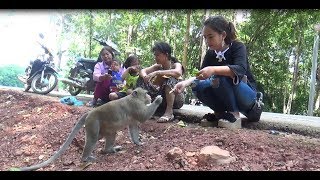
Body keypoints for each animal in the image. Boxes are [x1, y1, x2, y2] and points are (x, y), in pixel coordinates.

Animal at [15, 87, 162, 172]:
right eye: (146, 93)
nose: (150, 97)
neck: (134, 97)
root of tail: (90, 113)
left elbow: (133, 127)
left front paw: (138, 143)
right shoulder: (135, 105)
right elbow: (143, 117)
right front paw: (158, 100)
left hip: (102, 126)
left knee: (110, 134)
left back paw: (109, 150)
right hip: (93, 123)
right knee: (92, 139)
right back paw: (86, 158)